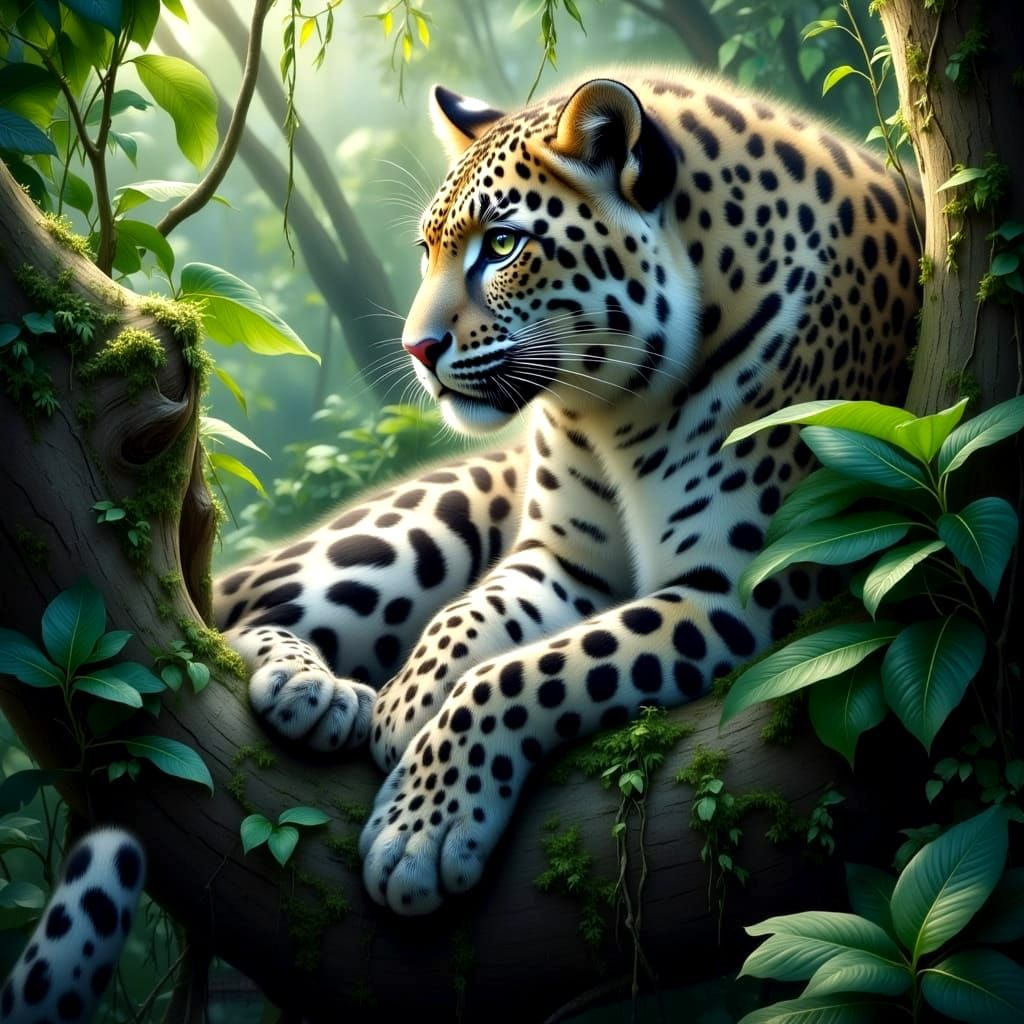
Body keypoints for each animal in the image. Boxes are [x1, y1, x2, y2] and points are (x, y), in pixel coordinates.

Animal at [7, 65, 921, 1008]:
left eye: (505, 246)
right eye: (429, 250)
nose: (418, 348)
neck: (619, 406)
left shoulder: (746, 583)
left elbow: (532, 669)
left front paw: (421, 824)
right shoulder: (558, 555)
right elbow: (470, 618)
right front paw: (408, 699)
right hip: (430, 520)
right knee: (233, 611)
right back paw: (314, 686)